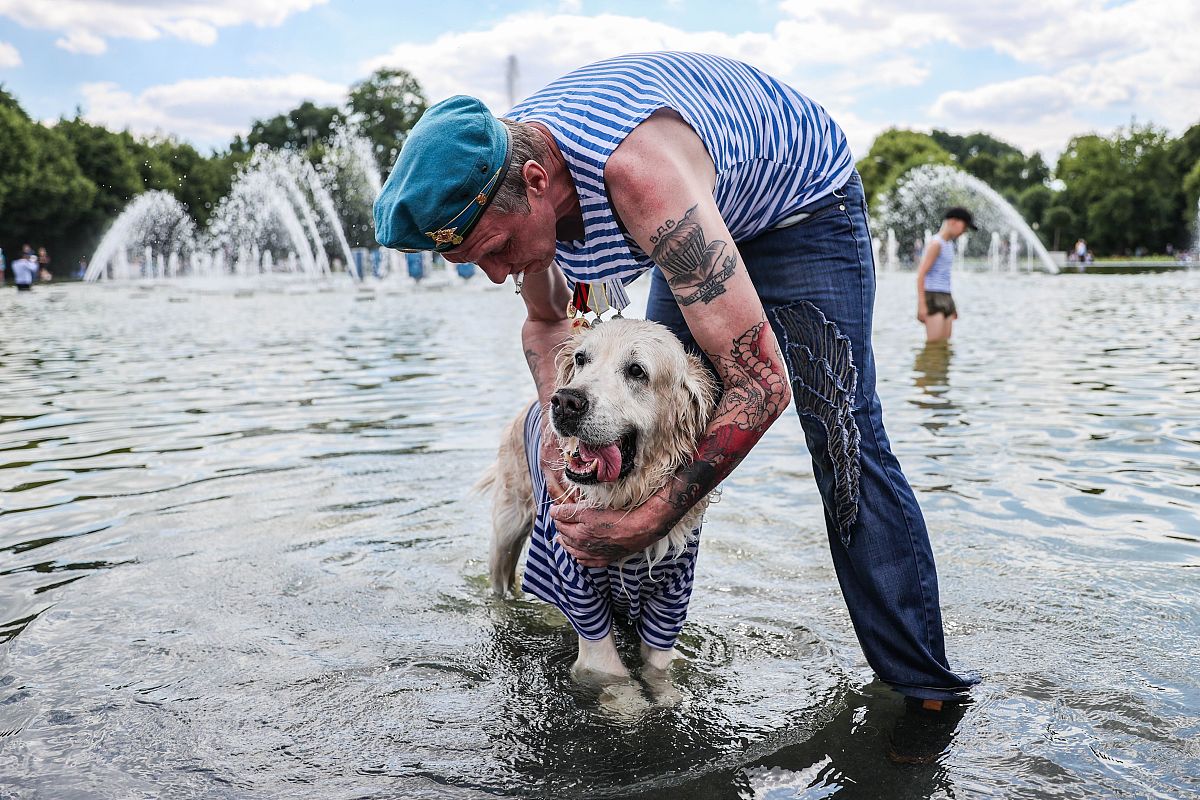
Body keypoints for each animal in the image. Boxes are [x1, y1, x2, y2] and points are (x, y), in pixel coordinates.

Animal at [477, 321, 715, 695]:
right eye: (581, 359)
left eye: (637, 370)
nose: (565, 401)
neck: (621, 501)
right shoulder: (579, 595)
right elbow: (617, 682)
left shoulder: (671, 600)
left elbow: (660, 674)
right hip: (507, 529)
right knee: (501, 584)